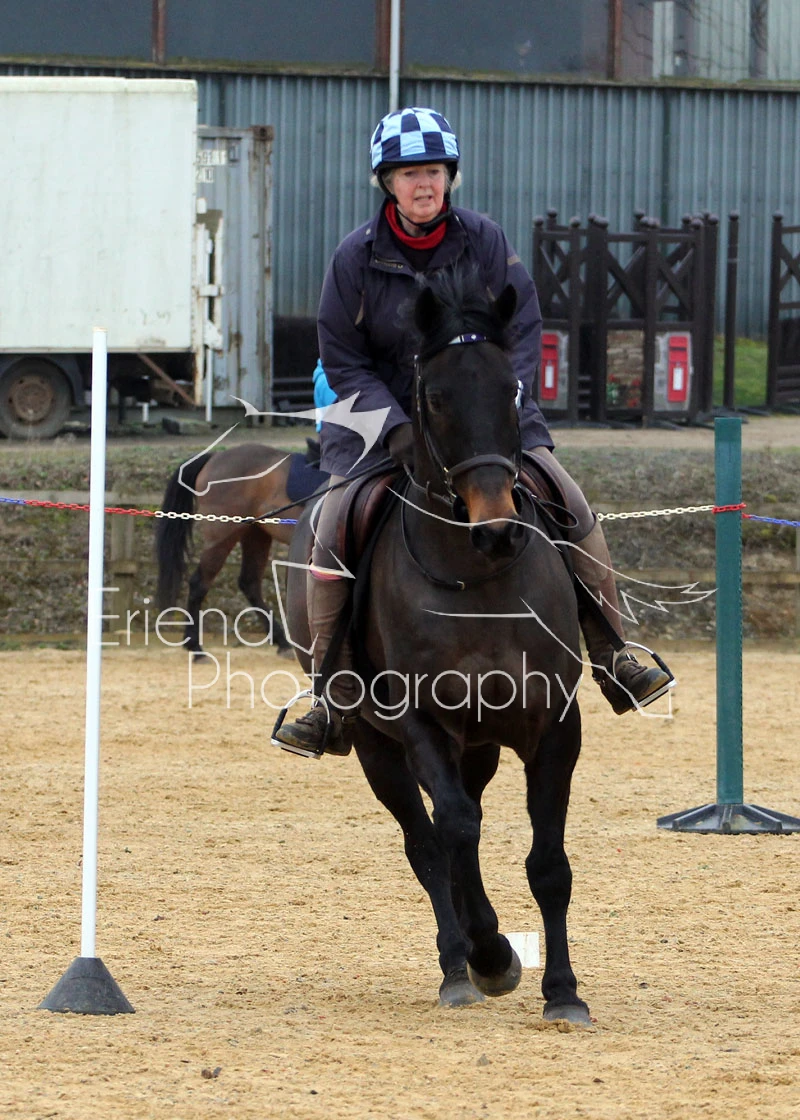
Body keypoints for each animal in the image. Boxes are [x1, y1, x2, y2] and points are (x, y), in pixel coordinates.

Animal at [155, 440, 326, 656]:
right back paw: (195, 646)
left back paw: (281, 641)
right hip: (223, 535)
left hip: (255, 534)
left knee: (249, 583)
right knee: (199, 583)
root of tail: (214, 457)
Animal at [279, 271, 591, 1023]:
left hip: (477, 743)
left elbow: (548, 863)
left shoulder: (554, 727)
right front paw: (486, 954)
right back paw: (463, 962)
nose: (499, 528)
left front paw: (563, 991)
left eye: (512, 388)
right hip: (377, 743)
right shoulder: (419, 725)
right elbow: (449, 832)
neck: (476, 578)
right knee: (429, 840)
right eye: (438, 397)